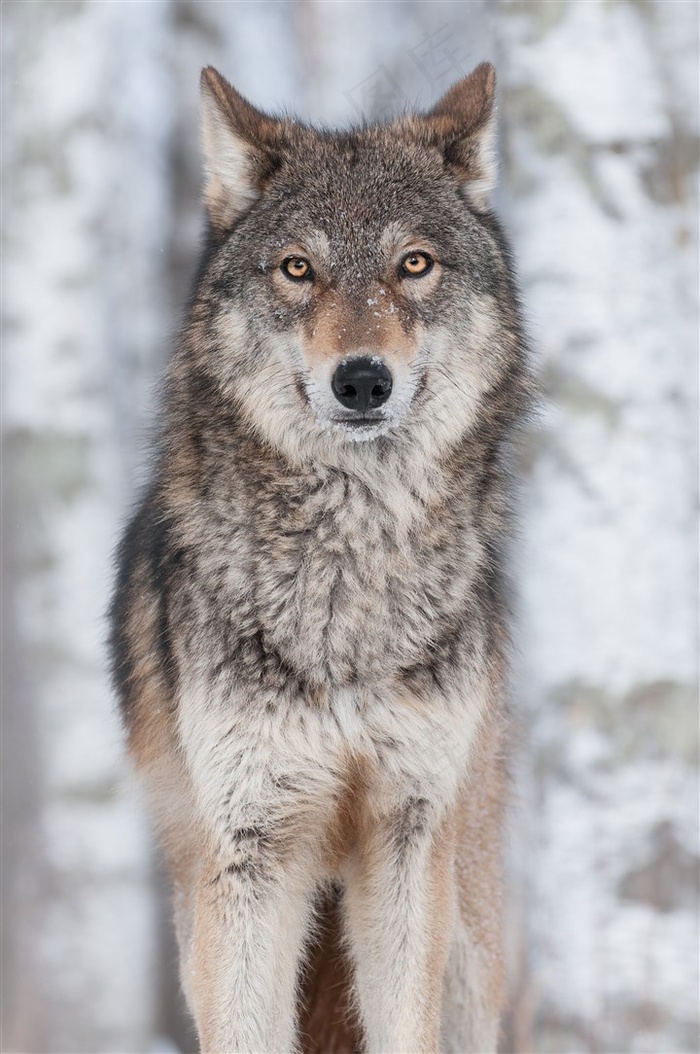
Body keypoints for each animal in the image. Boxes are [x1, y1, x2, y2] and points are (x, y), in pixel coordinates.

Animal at [109, 61, 527, 1049]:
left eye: (414, 263)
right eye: (298, 268)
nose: (363, 380)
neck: (350, 574)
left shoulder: (407, 838)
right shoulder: (248, 852)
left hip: (469, 945)